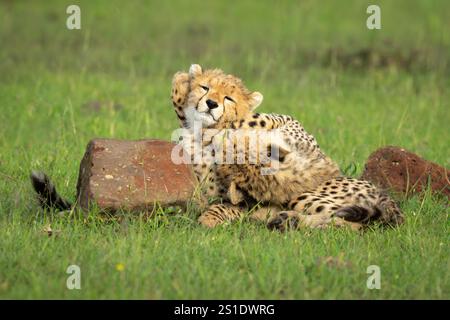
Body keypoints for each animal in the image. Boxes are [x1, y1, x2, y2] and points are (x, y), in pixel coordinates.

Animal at [170, 64, 404, 230]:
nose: (211, 104)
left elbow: (253, 120)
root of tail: (380, 191)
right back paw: (284, 220)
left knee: (353, 225)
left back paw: (289, 220)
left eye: (228, 98)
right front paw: (183, 85)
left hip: (309, 197)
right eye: (205, 87)